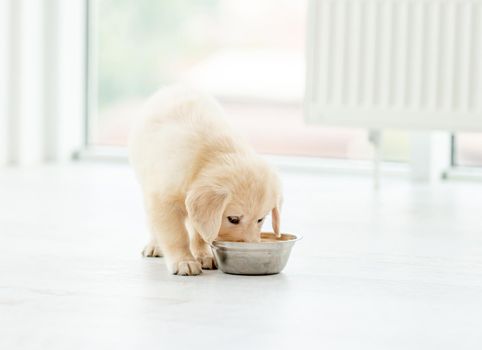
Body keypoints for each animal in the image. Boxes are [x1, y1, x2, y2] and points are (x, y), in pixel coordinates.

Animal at [128, 87, 282, 276]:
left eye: (260, 220)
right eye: (233, 219)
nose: (251, 248)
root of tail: (172, 88)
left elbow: (200, 232)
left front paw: (203, 255)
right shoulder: (163, 200)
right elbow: (176, 235)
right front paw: (184, 261)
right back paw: (154, 246)